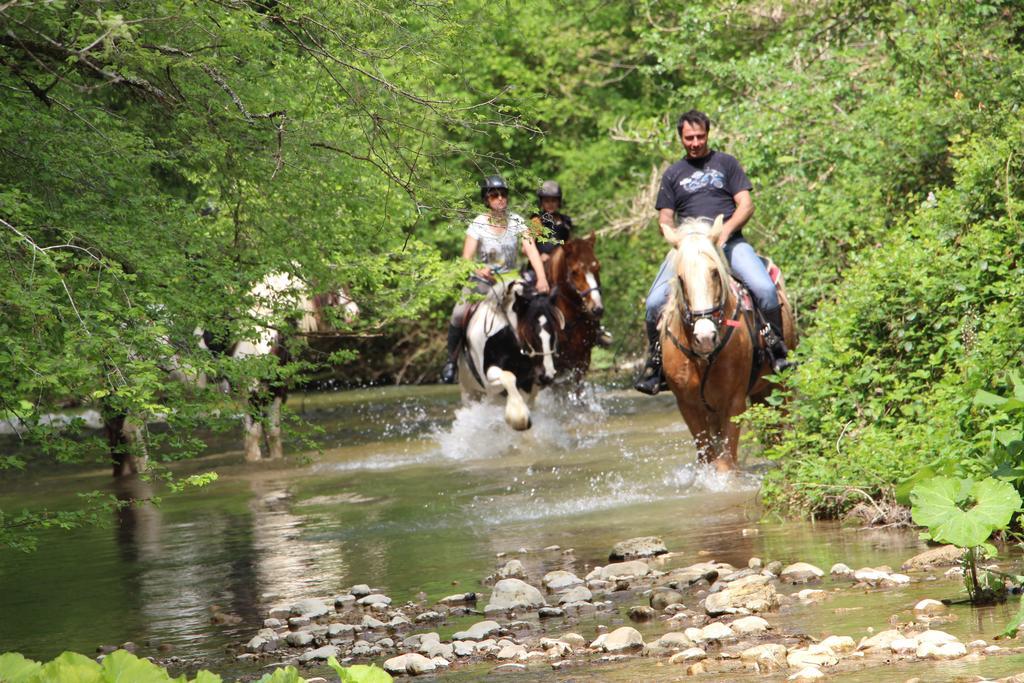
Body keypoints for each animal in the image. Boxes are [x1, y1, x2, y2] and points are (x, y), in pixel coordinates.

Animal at [659, 218, 794, 471]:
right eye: (680, 278)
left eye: (714, 273)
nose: (705, 337)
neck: (704, 359)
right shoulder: (689, 406)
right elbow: (708, 458)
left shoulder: (733, 403)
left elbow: (726, 464)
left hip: (780, 384)